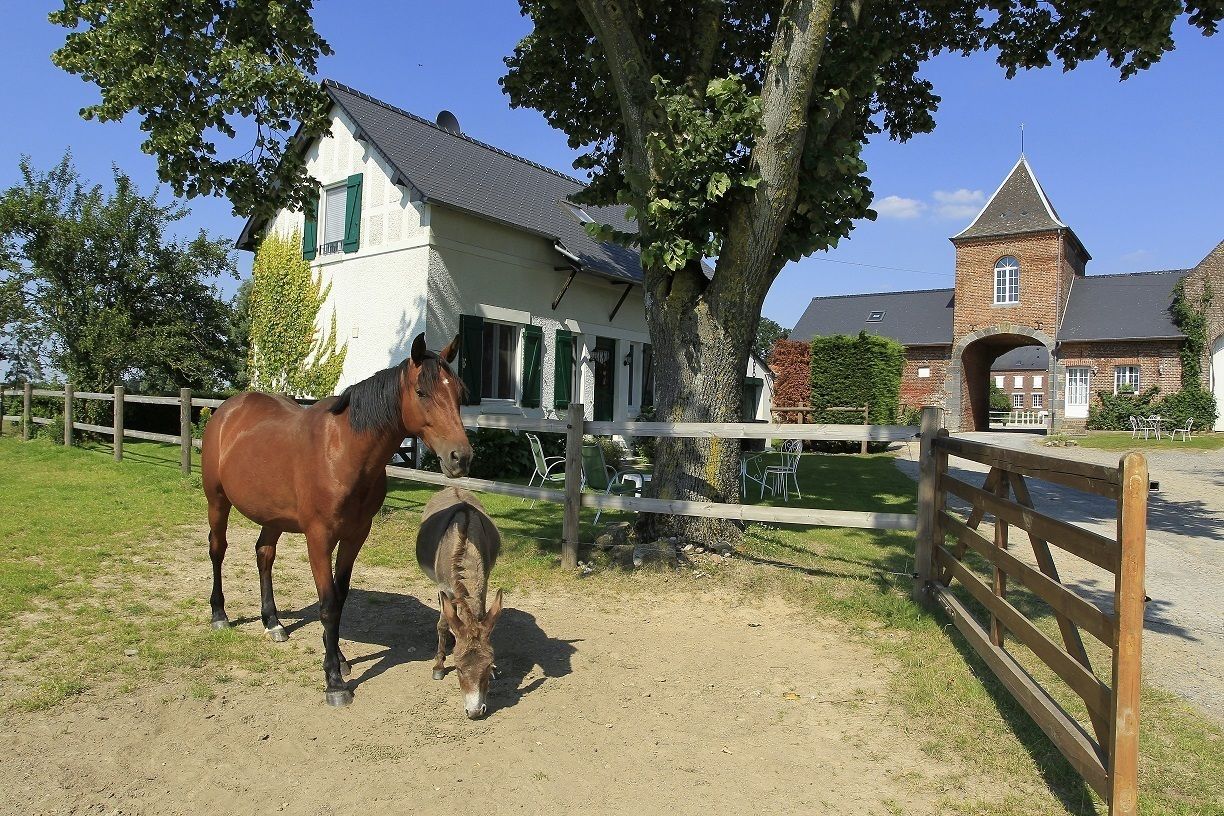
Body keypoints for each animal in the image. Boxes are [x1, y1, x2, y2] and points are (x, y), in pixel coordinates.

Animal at [201, 333, 472, 707]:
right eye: (421, 392)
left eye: (459, 393)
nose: (460, 457)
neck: (343, 452)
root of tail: (228, 410)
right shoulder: (319, 538)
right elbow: (328, 604)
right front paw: (334, 681)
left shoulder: (356, 535)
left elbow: (340, 598)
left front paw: (339, 659)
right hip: (217, 501)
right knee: (218, 549)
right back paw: (220, 615)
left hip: (273, 517)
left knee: (264, 554)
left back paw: (272, 622)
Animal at [416, 486, 503, 719]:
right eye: (459, 669)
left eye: (487, 665)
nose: (475, 712)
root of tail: (453, 487)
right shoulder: (444, 588)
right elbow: (443, 624)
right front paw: (438, 665)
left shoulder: (484, 584)